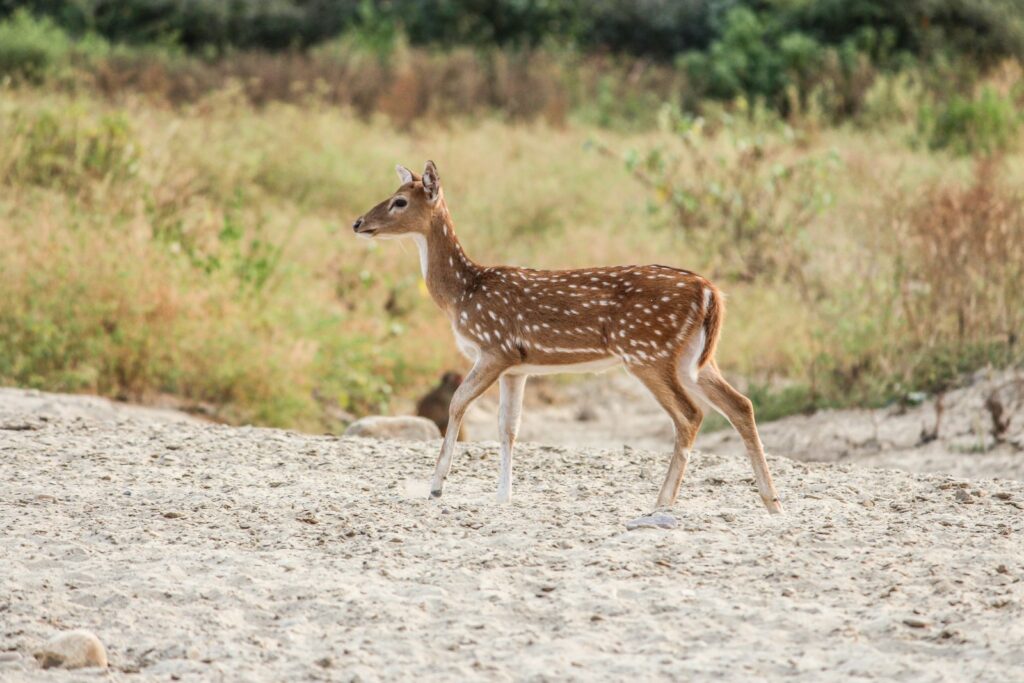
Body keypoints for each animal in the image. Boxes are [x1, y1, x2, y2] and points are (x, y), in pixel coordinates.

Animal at [352, 161, 783, 516]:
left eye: (399, 201)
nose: (358, 223)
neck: (463, 294)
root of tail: (710, 292)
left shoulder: (494, 347)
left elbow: (458, 403)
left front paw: (437, 487)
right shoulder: (518, 366)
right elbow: (509, 427)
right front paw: (503, 495)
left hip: (647, 351)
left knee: (690, 414)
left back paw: (662, 502)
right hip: (695, 357)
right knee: (741, 404)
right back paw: (772, 502)